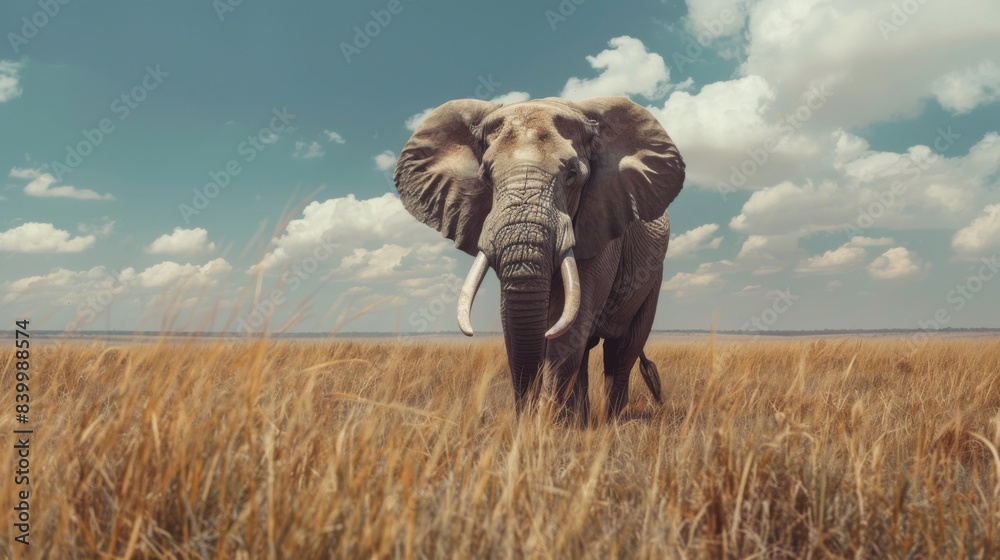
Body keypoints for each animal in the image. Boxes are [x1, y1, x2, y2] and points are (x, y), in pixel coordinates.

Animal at [393, 96, 684, 422]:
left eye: (572, 175)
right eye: (486, 177)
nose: (526, 414)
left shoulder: (602, 226)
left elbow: (571, 324)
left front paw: (550, 428)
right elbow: (513, 320)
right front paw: (541, 426)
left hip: (653, 276)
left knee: (622, 350)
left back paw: (611, 422)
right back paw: (583, 422)